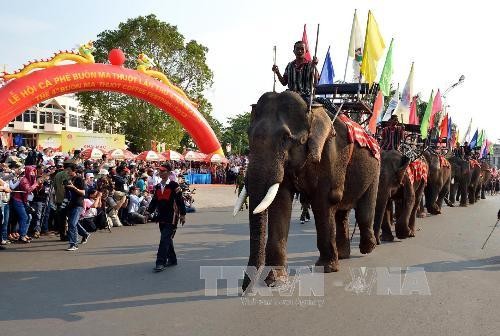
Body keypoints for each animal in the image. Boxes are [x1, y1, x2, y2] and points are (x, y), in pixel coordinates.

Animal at [240, 91, 380, 288]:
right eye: (248, 135)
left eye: (285, 138)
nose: (245, 289)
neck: (311, 110)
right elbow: (280, 202)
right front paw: (274, 280)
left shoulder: (331, 153)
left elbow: (323, 201)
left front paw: (326, 268)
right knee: (342, 212)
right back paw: (343, 255)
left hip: (375, 168)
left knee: (364, 210)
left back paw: (367, 248)